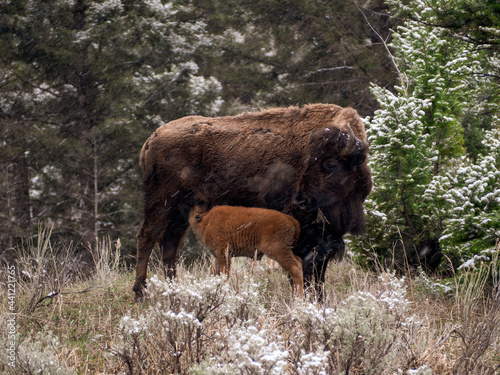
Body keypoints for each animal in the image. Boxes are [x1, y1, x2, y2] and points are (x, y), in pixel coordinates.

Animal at [133, 103, 372, 302]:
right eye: (309, 163)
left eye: (330, 164)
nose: (301, 200)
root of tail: (152, 139)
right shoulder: (306, 234)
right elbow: (306, 268)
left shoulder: (327, 237)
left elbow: (319, 272)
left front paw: (320, 300)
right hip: (161, 203)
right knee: (147, 237)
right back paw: (140, 293)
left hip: (181, 212)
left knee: (169, 245)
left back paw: (174, 290)